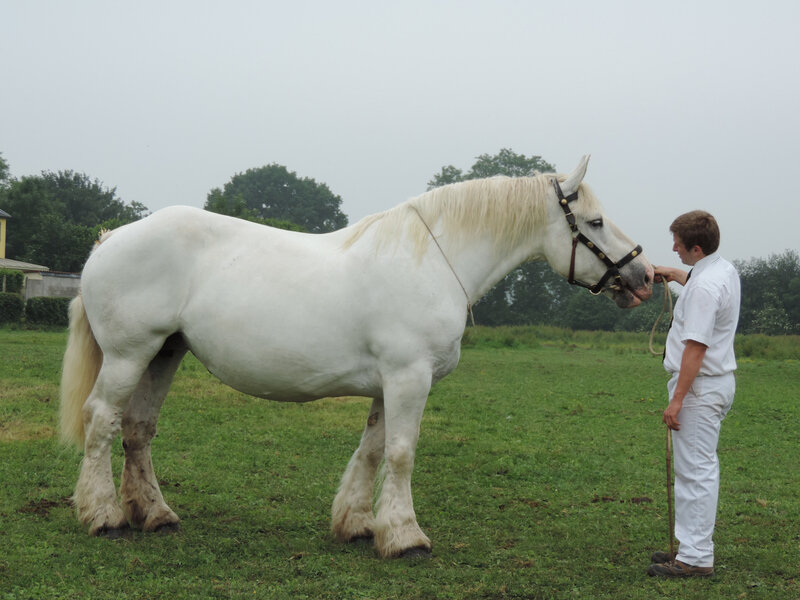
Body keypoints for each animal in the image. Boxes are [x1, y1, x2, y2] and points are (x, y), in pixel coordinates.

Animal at [61, 156, 648, 556]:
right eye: (594, 222)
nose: (641, 276)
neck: (433, 260)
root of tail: (111, 238)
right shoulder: (409, 378)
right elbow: (402, 453)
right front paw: (407, 537)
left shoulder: (392, 383)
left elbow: (373, 450)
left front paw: (360, 525)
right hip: (129, 354)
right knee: (101, 421)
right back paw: (103, 515)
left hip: (164, 353)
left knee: (137, 429)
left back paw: (155, 514)